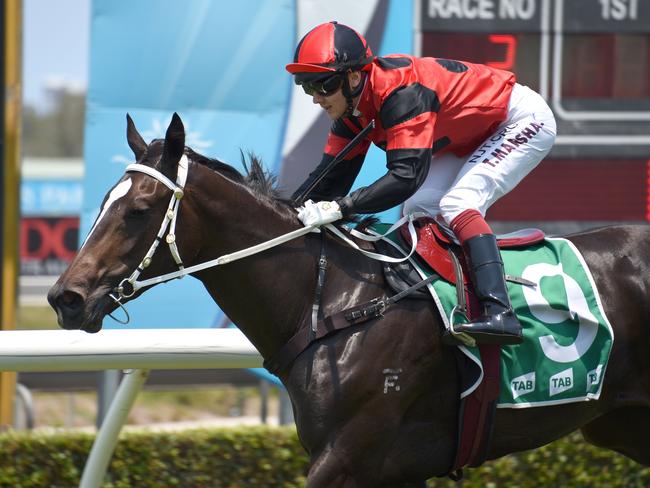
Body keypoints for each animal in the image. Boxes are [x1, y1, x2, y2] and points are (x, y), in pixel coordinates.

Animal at [48, 112, 648, 486]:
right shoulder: (395, 468)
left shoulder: (348, 457)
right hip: (619, 423)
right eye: (102, 202)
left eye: (138, 210)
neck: (334, 301)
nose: (64, 298)